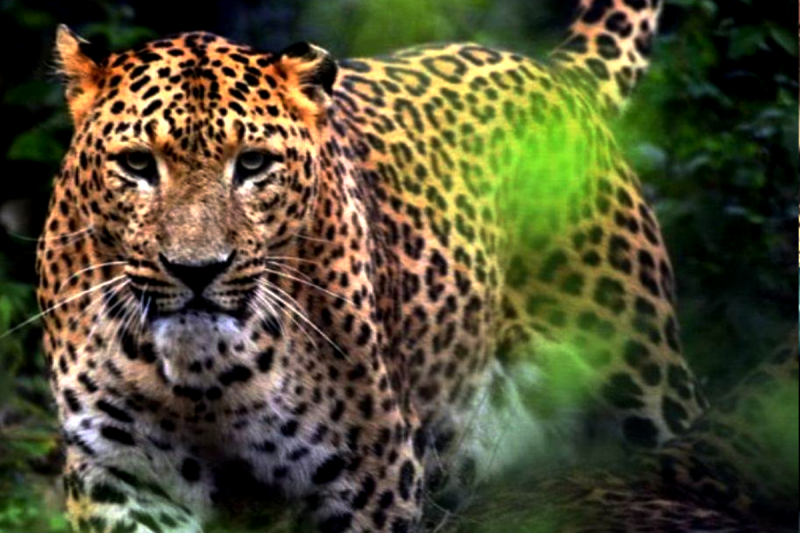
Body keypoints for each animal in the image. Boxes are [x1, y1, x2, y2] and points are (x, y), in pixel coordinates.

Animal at [36, 1, 722, 532]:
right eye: (137, 164)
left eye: (253, 164)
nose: (196, 270)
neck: (205, 382)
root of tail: (554, 73)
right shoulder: (122, 479)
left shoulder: (367, 483)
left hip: (640, 375)